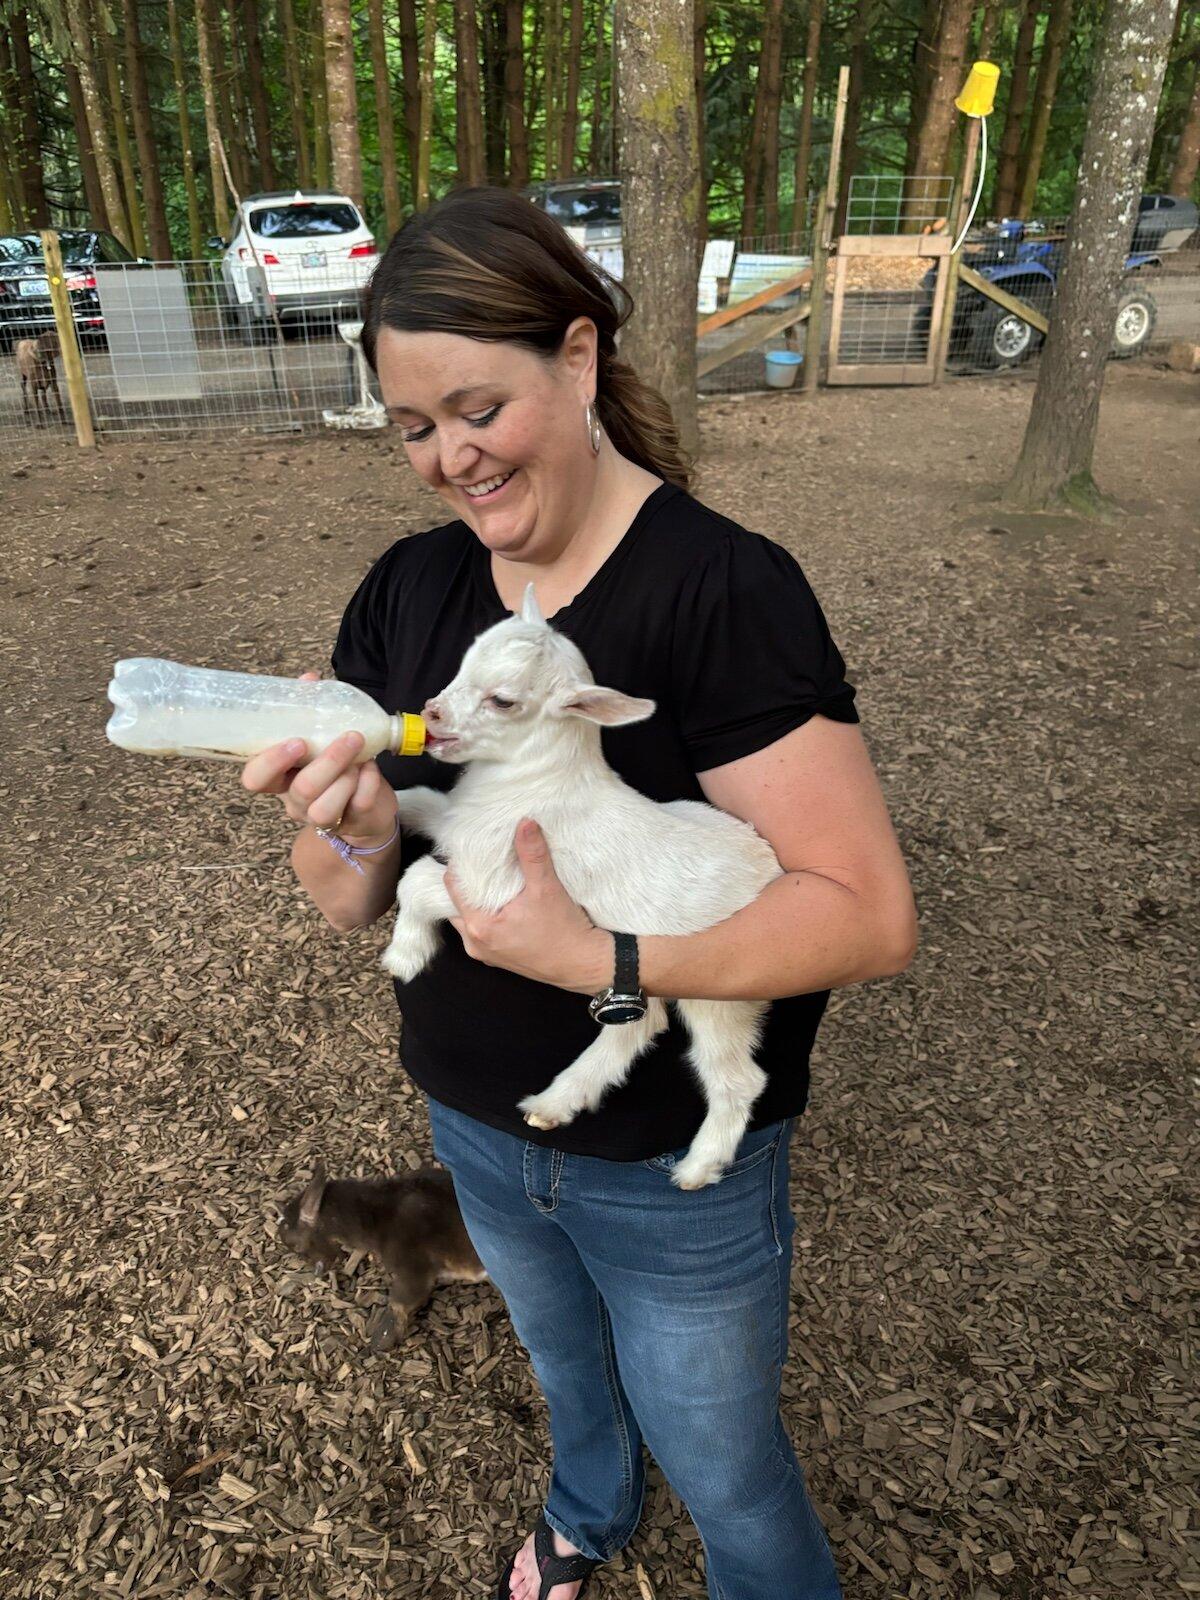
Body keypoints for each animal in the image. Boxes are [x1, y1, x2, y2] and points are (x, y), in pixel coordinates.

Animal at [381, 586, 783, 1190]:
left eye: (503, 701)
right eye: (464, 661)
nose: (431, 712)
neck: (536, 781)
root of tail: (773, 870)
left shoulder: (497, 892)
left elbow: (420, 880)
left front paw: (406, 954)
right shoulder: (455, 822)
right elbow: (418, 802)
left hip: (723, 988)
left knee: (735, 1075)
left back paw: (698, 1166)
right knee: (643, 1025)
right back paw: (556, 1103)